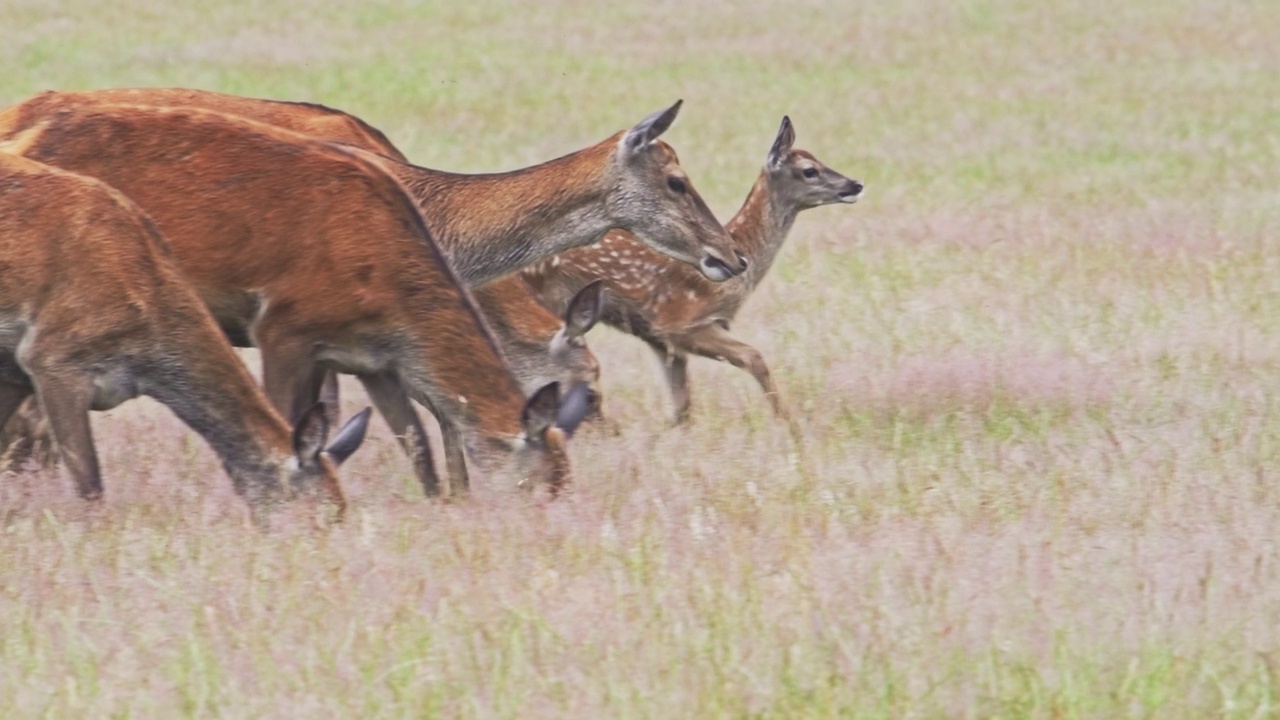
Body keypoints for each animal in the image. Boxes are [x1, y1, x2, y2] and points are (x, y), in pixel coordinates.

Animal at [524, 116, 865, 420]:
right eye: (809, 170)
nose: (856, 184)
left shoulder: (661, 340)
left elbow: (682, 408)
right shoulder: (680, 322)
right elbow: (754, 357)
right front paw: (791, 426)